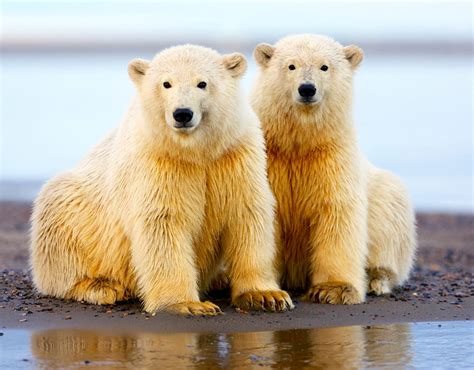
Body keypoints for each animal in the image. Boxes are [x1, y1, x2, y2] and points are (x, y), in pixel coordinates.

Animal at [30, 44, 292, 316]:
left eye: (202, 83)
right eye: (166, 83)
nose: (182, 114)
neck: (195, 152)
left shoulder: (234, 156)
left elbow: (246, 214)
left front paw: (266, 295)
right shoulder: (159, 163)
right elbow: (163, 222)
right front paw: (188, 304)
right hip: (71, 213)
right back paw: (101, 286)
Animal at [250, 34, 416, 304]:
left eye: (324, 66)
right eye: (291, 66)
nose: (307, 89)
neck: (299, 144)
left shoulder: (333, 157)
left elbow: (337, 211)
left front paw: (334, 289)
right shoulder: (271, 160)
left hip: (387, 201)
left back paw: (376, 280)